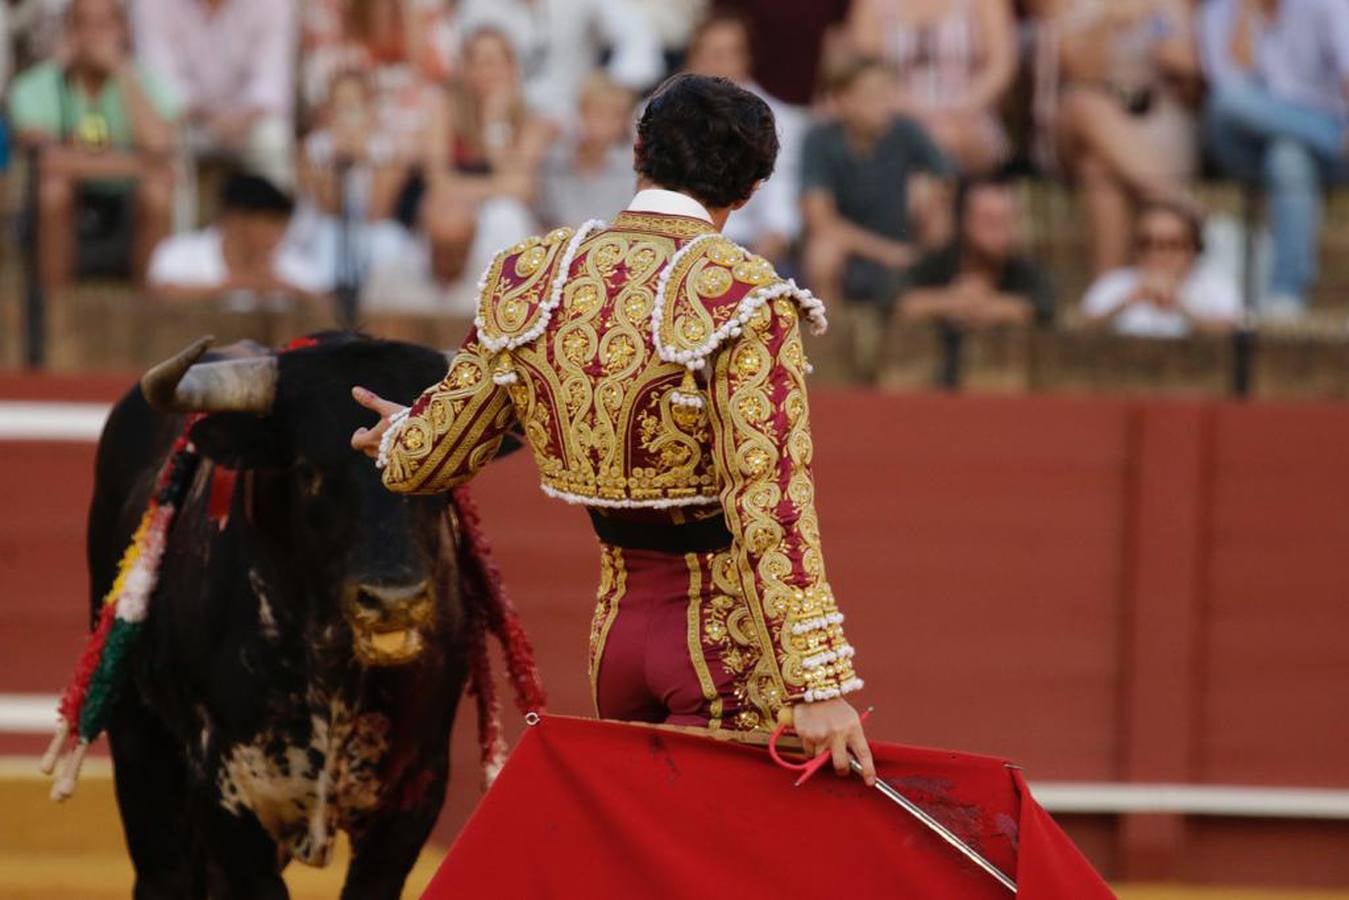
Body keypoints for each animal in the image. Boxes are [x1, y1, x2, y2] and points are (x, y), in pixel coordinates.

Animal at [89, 334, 501, 900]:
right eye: (309, 471)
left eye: (439, 478)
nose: (393, 599)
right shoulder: (227, 796)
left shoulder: (415, 793)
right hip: (136, 736)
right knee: (163, 872)